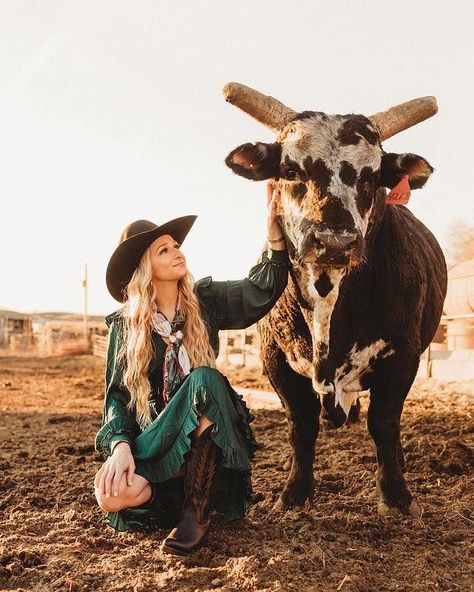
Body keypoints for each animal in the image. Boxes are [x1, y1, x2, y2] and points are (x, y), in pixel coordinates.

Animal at [224, 81, 446, 516]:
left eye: (372, 177)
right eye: (290, 171)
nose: (335, 241)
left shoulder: (404, 356)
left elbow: (384, 423)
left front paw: (396, 495)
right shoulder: (274, 358)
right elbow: (301, 424)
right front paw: (294, 492)